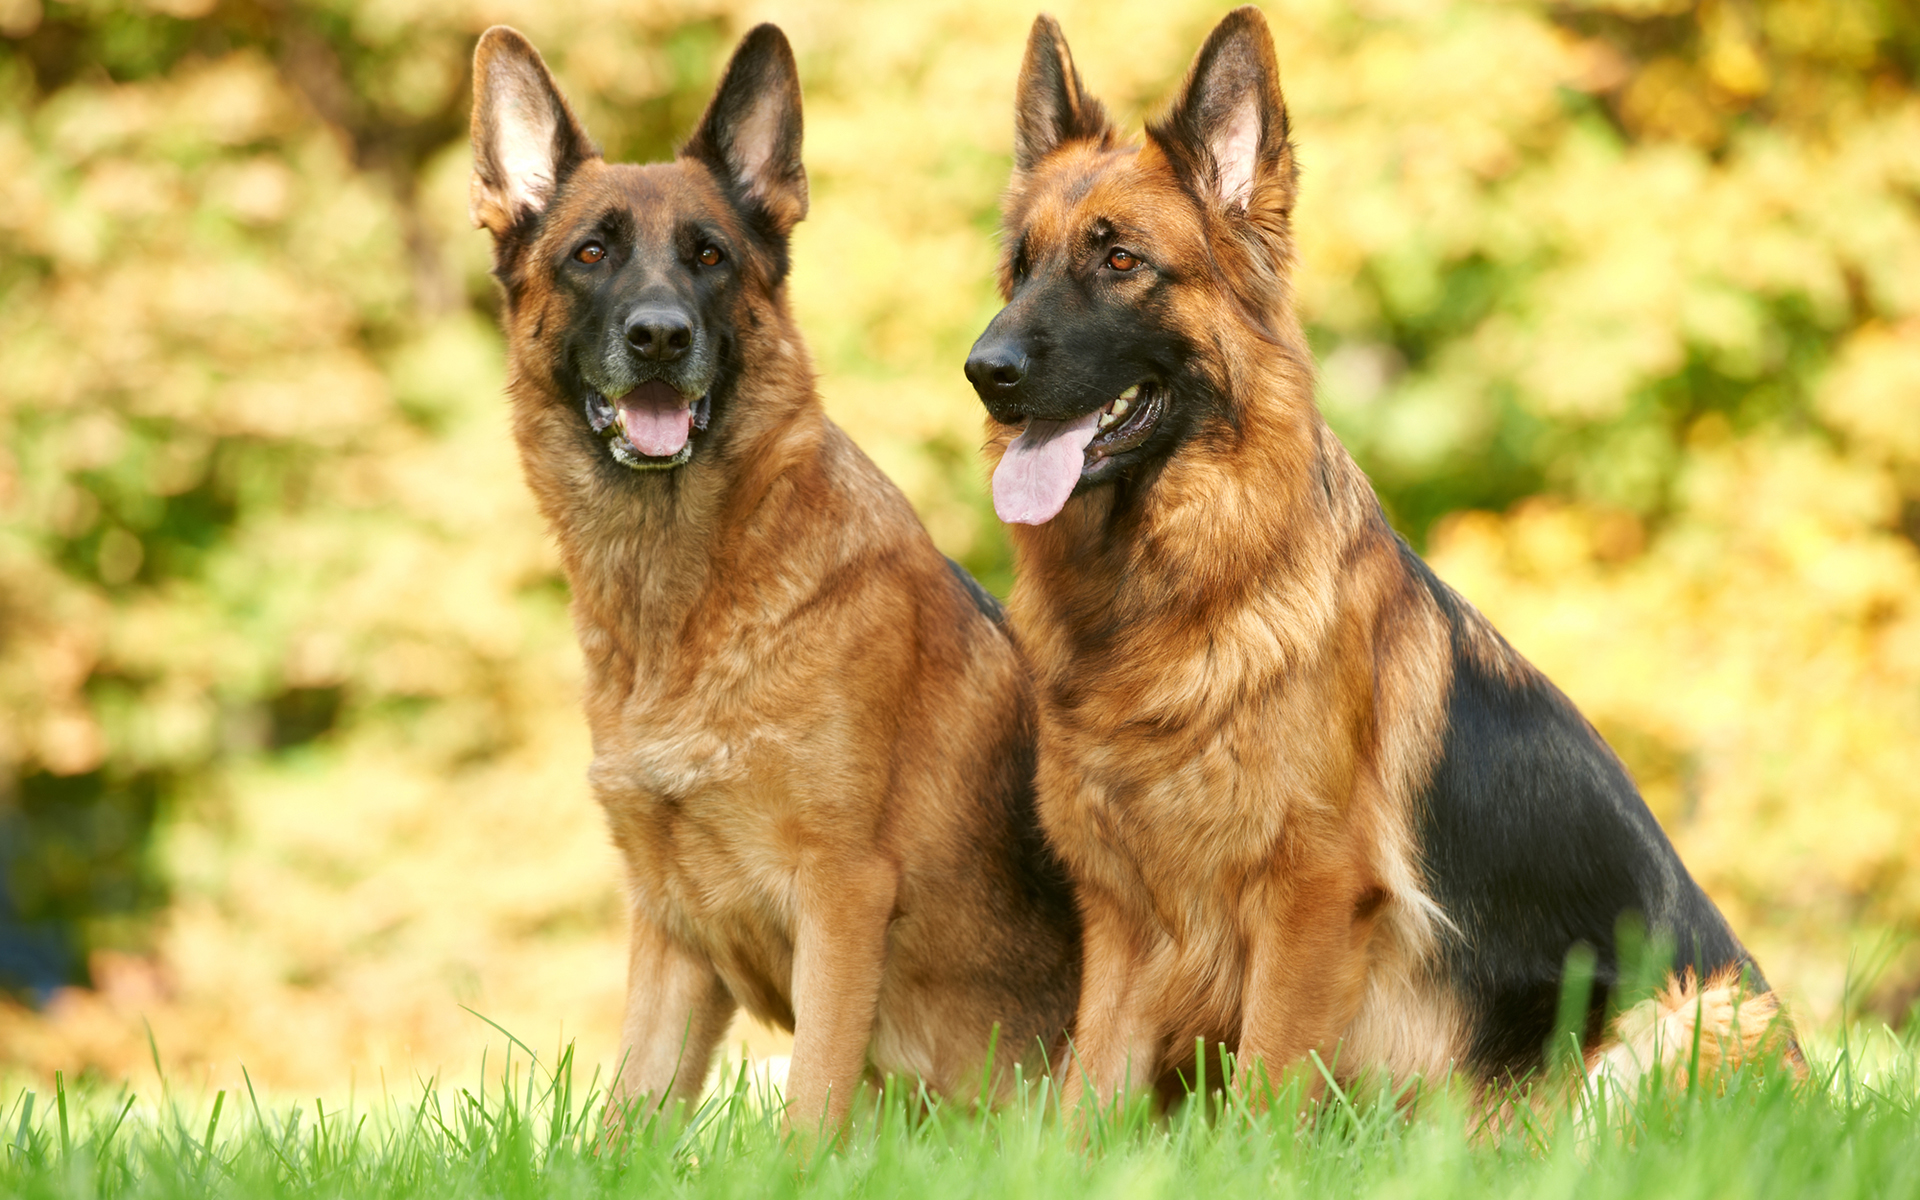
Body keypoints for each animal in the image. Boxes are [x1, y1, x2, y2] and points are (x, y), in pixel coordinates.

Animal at [470, 25, 1082, 1128]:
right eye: (590, 254)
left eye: (709, 256)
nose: (659, 336)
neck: (685, 606)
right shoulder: (672, 936)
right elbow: (626, 1120)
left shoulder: (842, 896)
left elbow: (809, 1113)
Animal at [967, 7, 1789, 1105]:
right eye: (1021, 267)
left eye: (1122, 261)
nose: (985, 371)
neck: (1171, 595)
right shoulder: (1126, 922)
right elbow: (1081, 1103)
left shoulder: (1311, 900)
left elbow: (1264, 1090)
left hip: (1678, 1020)